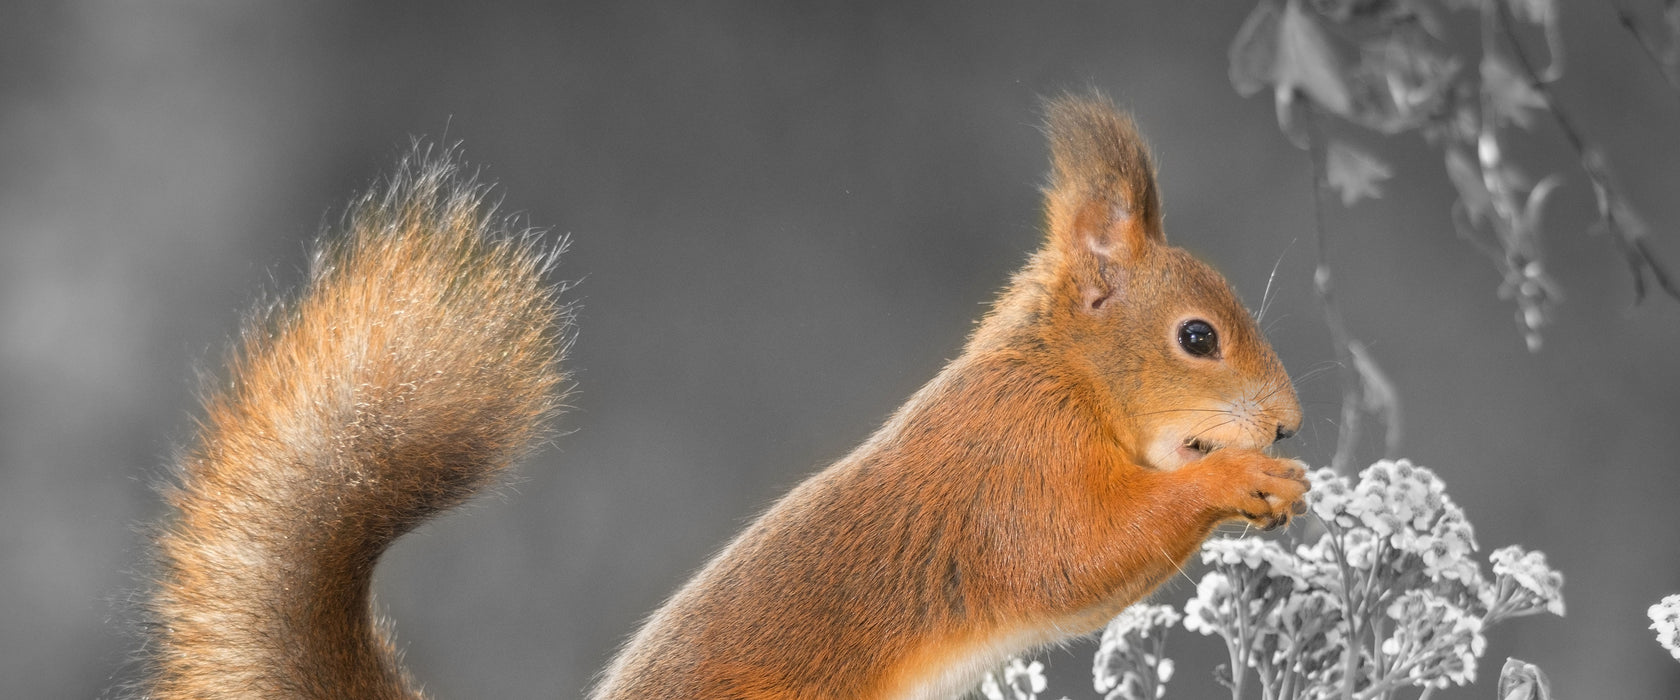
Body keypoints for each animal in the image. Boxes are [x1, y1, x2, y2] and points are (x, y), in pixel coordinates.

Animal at [134, 92, 1310, 698]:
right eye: (1198, 338)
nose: (1290, 421)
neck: (1061, 375)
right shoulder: (1012, 468)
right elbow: (1076, 555)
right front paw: (1243, 479)